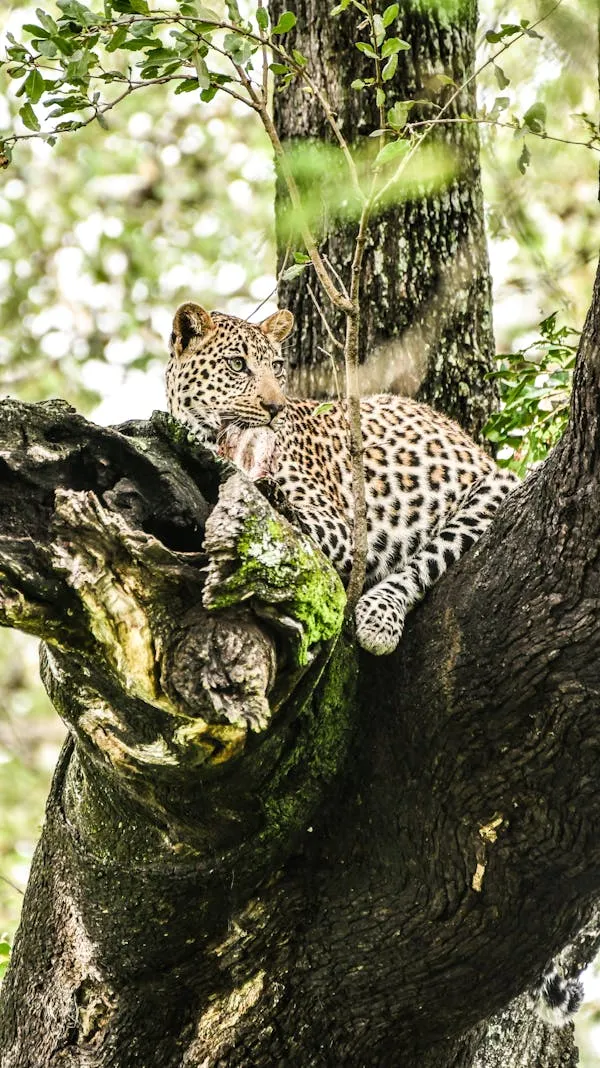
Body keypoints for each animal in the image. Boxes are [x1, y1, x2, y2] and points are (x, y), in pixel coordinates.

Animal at [166, 300, 518, 657]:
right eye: (237, 364)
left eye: (277, 367)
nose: (276, 407)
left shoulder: (338, 526)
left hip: (496, 486)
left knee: (424, 562)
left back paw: (379, 618)